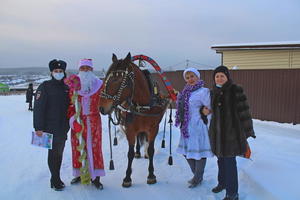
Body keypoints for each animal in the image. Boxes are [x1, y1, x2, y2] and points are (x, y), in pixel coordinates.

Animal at [98, 52, 169, 187]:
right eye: (106, 78)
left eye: (118, 79)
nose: (102, 108)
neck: (143, 105)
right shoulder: (130, 128)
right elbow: (130, 153)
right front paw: (127, 177)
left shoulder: (153, 128)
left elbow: (151, 149)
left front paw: (151, 175)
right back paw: (138, 152)